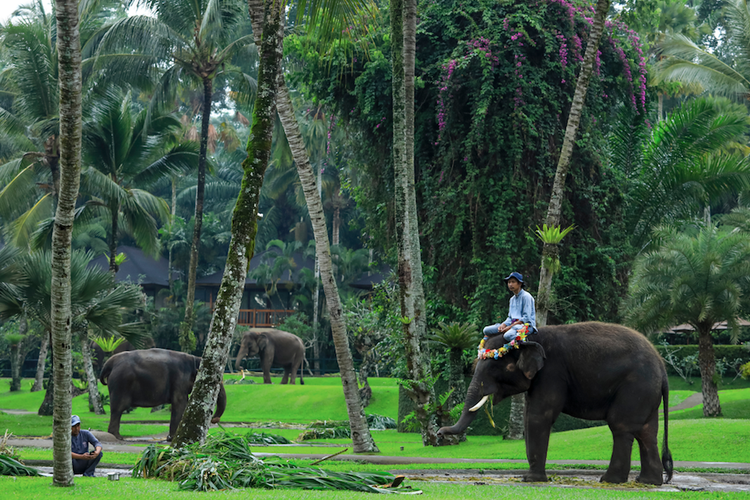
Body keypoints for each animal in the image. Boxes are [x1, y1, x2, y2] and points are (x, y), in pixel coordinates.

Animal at [440, 322, 676, 486]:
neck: (530, 337)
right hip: (645, 392)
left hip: (635, 386)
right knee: (647, 432)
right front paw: (530, 477)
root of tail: (663, 368)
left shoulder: (551, 373)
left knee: (621, 427)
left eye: (497, 367)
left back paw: (610, 480)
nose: (441, 433)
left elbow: (539, 416)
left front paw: (530, 479)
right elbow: (529, 416)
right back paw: (647, 482)